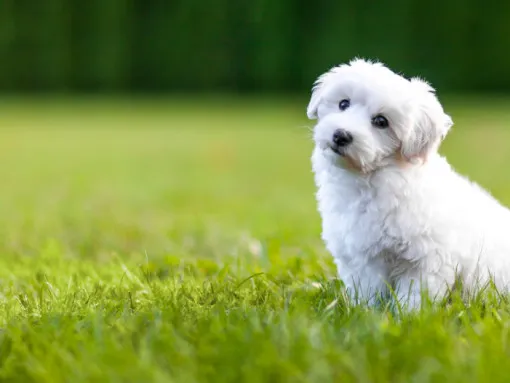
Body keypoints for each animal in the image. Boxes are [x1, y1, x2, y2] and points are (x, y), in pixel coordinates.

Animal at [308, 57, 510, 308]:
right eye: (343, 103)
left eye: (381, 121)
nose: (340, 135)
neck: (372, 178)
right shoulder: (361, 259)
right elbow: (367, 290)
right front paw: (365, 312)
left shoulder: (426, 258)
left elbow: (414, 296)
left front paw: (408, 315)